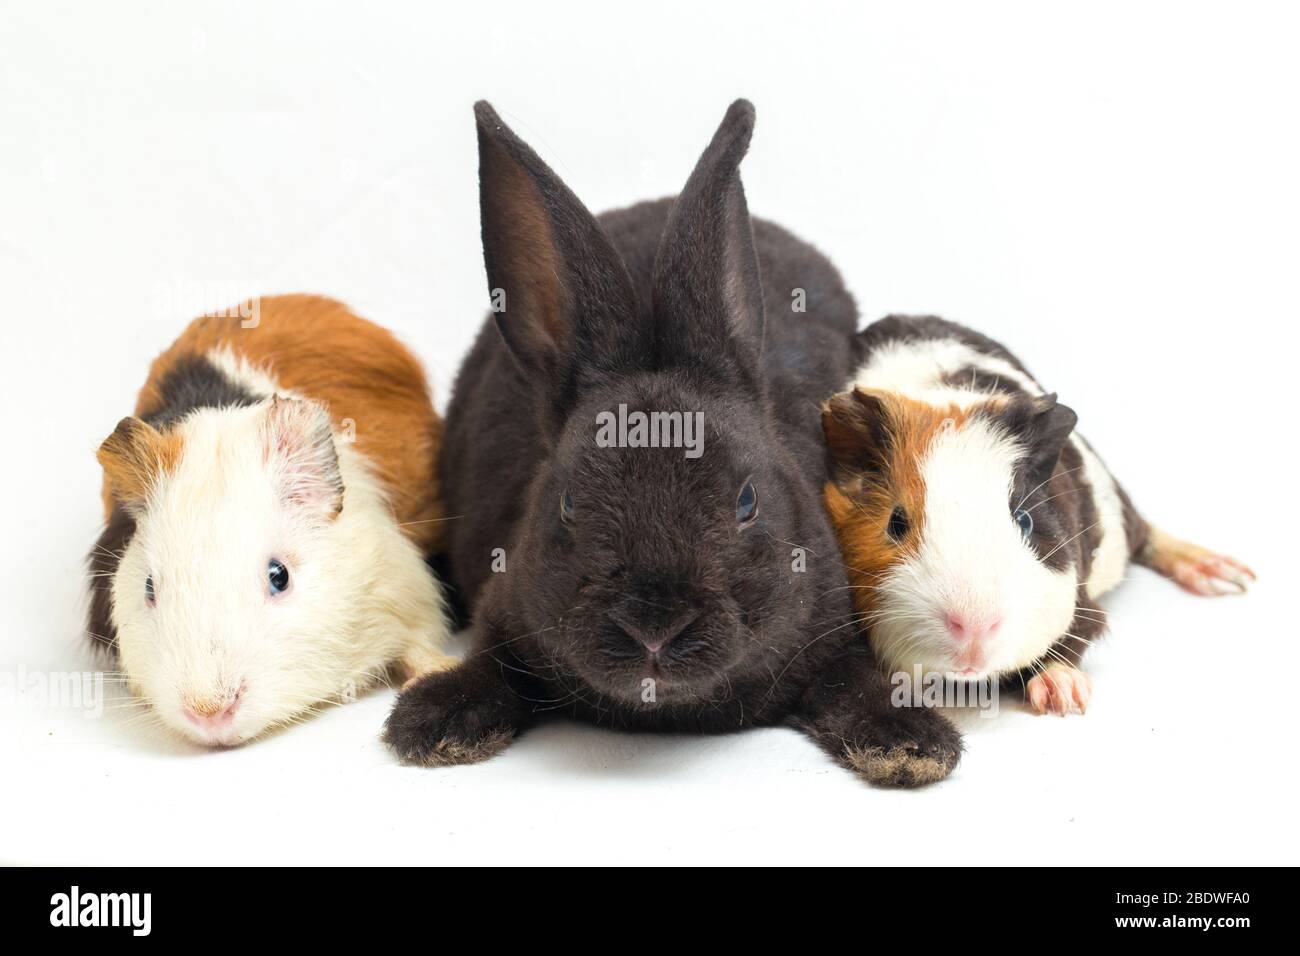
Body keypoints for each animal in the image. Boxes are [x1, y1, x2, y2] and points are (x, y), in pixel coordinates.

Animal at [379, 98, 961, 785]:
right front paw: (432, 723)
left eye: (747, 502)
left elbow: (852, 682)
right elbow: (492, 666)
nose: (653, 628)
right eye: (567, 504)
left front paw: (910, 745)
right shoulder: (504, 609)